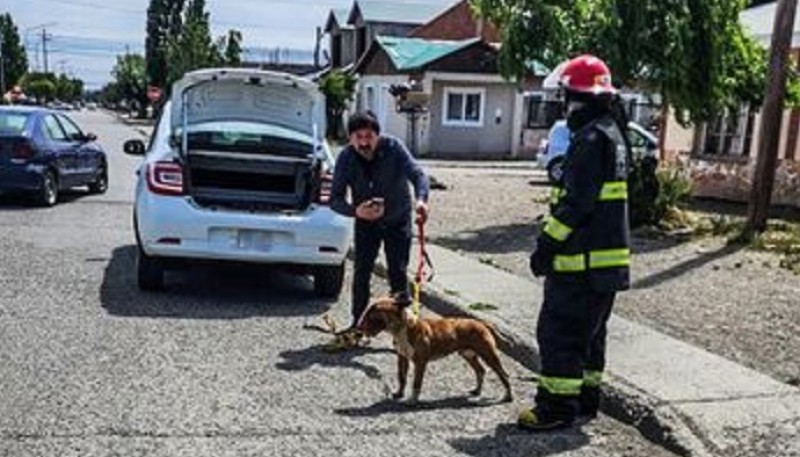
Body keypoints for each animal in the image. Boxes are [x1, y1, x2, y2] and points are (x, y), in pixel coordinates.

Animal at [356, 296, 512, 402]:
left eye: (373, 311)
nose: (359, 326)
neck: (403, 328)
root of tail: (483, 323)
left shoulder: (420, 362)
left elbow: (416, 383)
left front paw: (413, 399)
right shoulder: (402, 358)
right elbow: (402, 378)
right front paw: (399, 394)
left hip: (488, 354)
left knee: (503, 374)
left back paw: (508, 396)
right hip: (468, 354)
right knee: (480, 370)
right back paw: (477, 391)